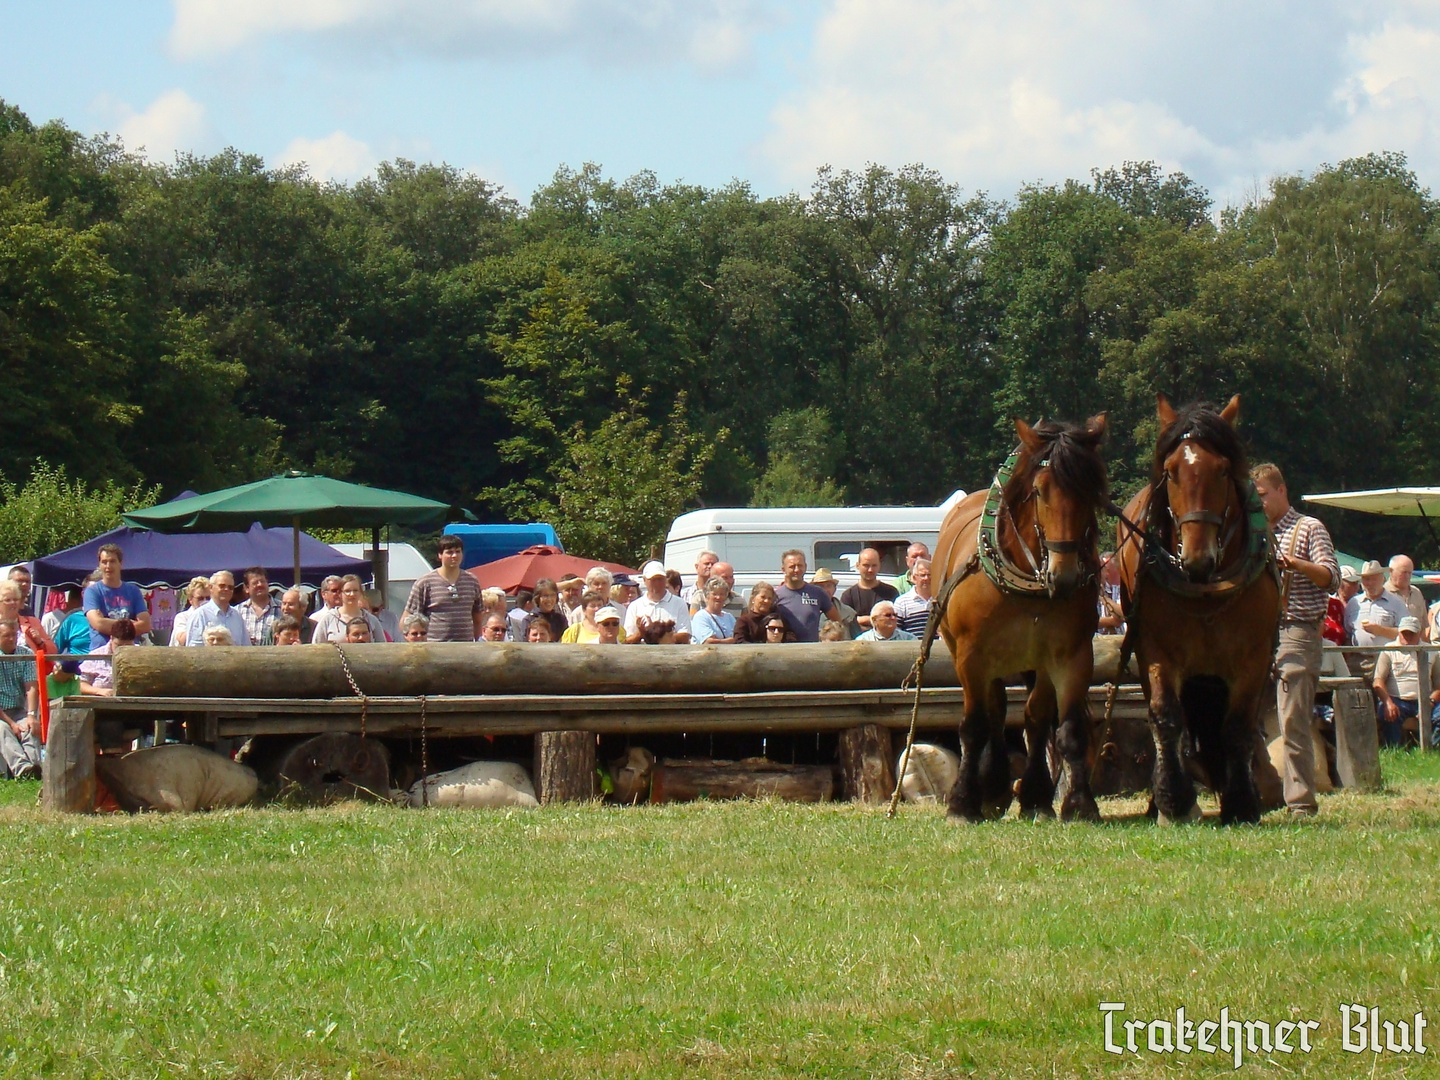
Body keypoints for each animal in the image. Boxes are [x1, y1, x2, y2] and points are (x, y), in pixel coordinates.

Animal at [927, 417, 1105, 823]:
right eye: (1039, 491)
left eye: (1092, 488)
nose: (1064, 576)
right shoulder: (972, 656)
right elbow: (975, 725)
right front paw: (962, 802)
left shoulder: (1069, 655)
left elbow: (1058, 725)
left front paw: (1072, 802)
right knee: (993, 711)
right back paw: (991, 788)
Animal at [1117, 397, 1278, 829]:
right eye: (1171, 472)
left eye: (1222, 469)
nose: (1197, 557)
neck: (1205, 589)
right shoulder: (1156, 652)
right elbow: (1165, 716)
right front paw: (1173, 801)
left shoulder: (1254, 658)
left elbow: (1237, 726)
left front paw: (1242, 802)